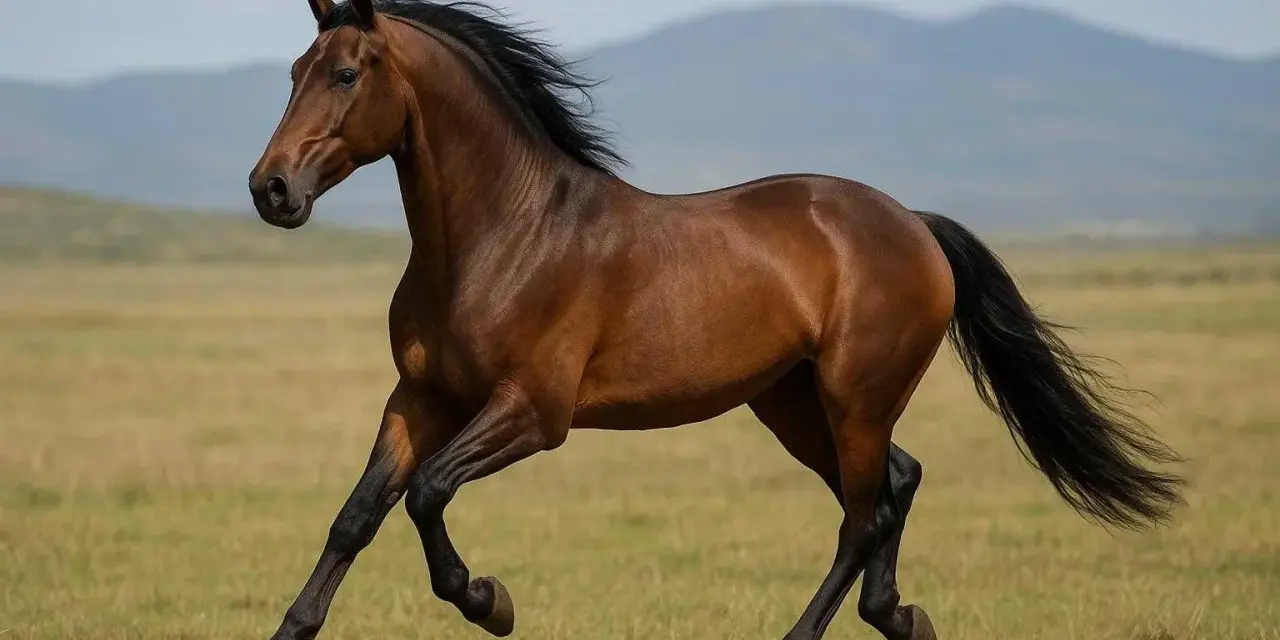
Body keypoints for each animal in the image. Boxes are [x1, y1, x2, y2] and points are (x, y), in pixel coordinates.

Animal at [248, 2, 1184, 638]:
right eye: (292, 72)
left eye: (345, 75)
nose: (271, 190)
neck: (502, 237)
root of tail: (916, 226)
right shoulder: (418, 399)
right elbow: (359, 515)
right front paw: (296, 624)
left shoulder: (532, 413)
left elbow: (428, 494)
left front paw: (491, 601)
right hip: (796, 403)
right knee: (897, 482)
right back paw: (900, 615)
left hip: (854, 399)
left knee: (864, 513)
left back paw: (813, 632)